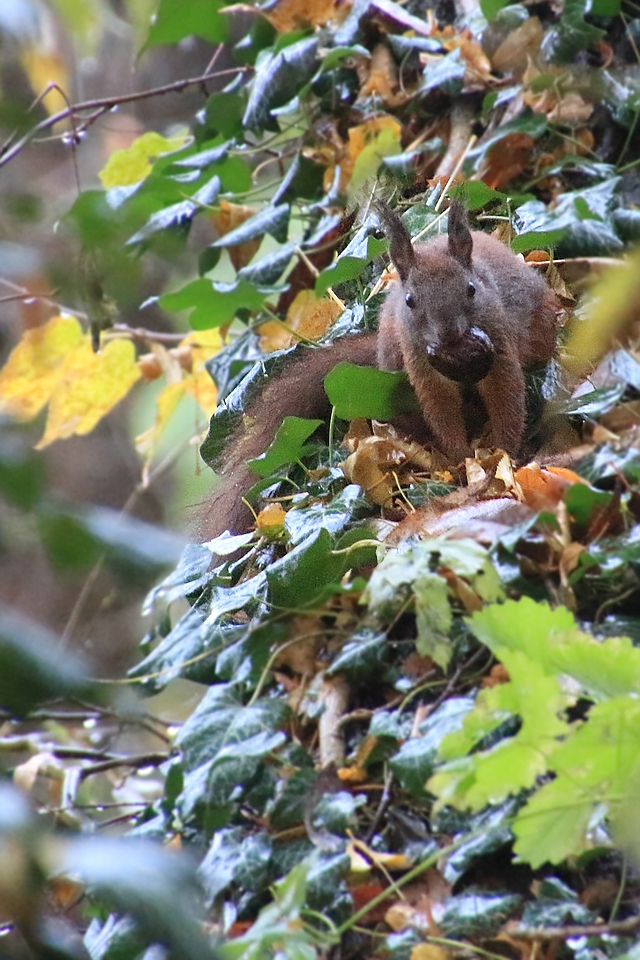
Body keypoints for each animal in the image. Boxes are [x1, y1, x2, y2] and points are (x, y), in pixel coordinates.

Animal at [201, 202, 560, 540]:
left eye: (471, 289)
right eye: (411, 301)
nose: (448, 335)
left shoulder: (498, 344)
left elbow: (505, 395)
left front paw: (502, 455)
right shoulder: (419, 362)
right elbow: (441, 407)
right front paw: (460, 458)